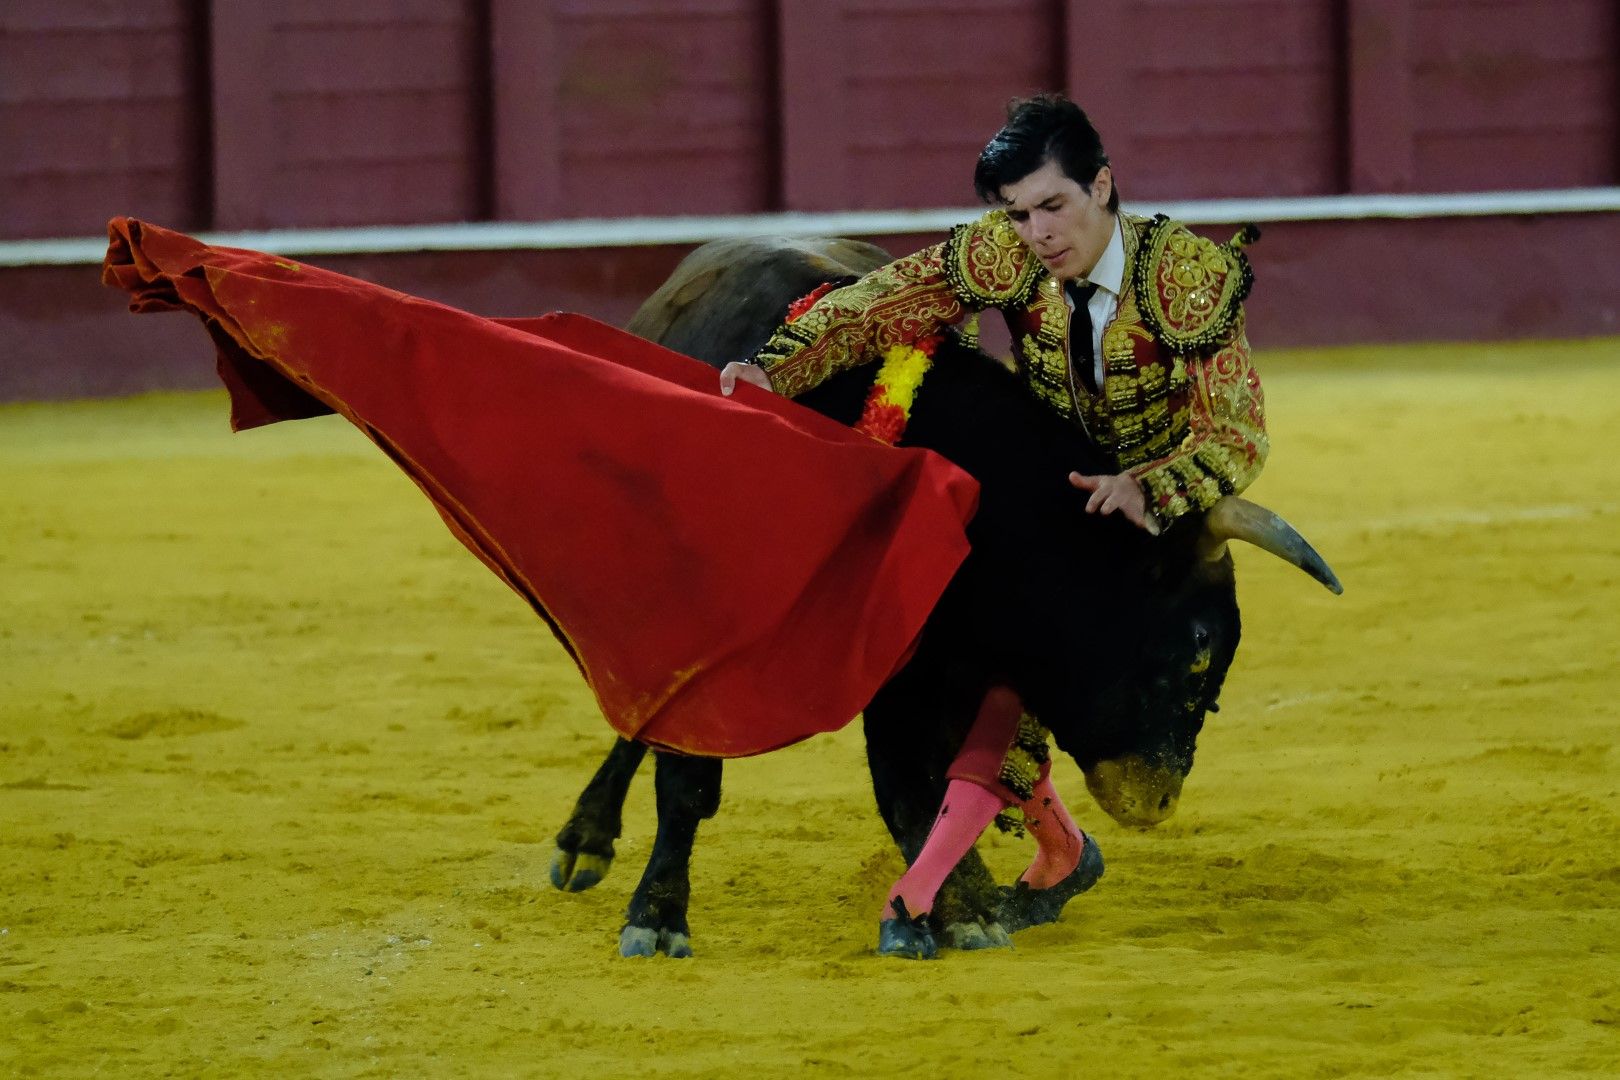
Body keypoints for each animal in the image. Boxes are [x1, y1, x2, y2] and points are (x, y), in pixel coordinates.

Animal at [544, 234, 1341, 952]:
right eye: (1198, 649)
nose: (1157, 799)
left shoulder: (932, 658)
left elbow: (918, 781)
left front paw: (957, 908)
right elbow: (686, 777)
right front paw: (657, 914)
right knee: (642, 715)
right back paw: (587, 837)